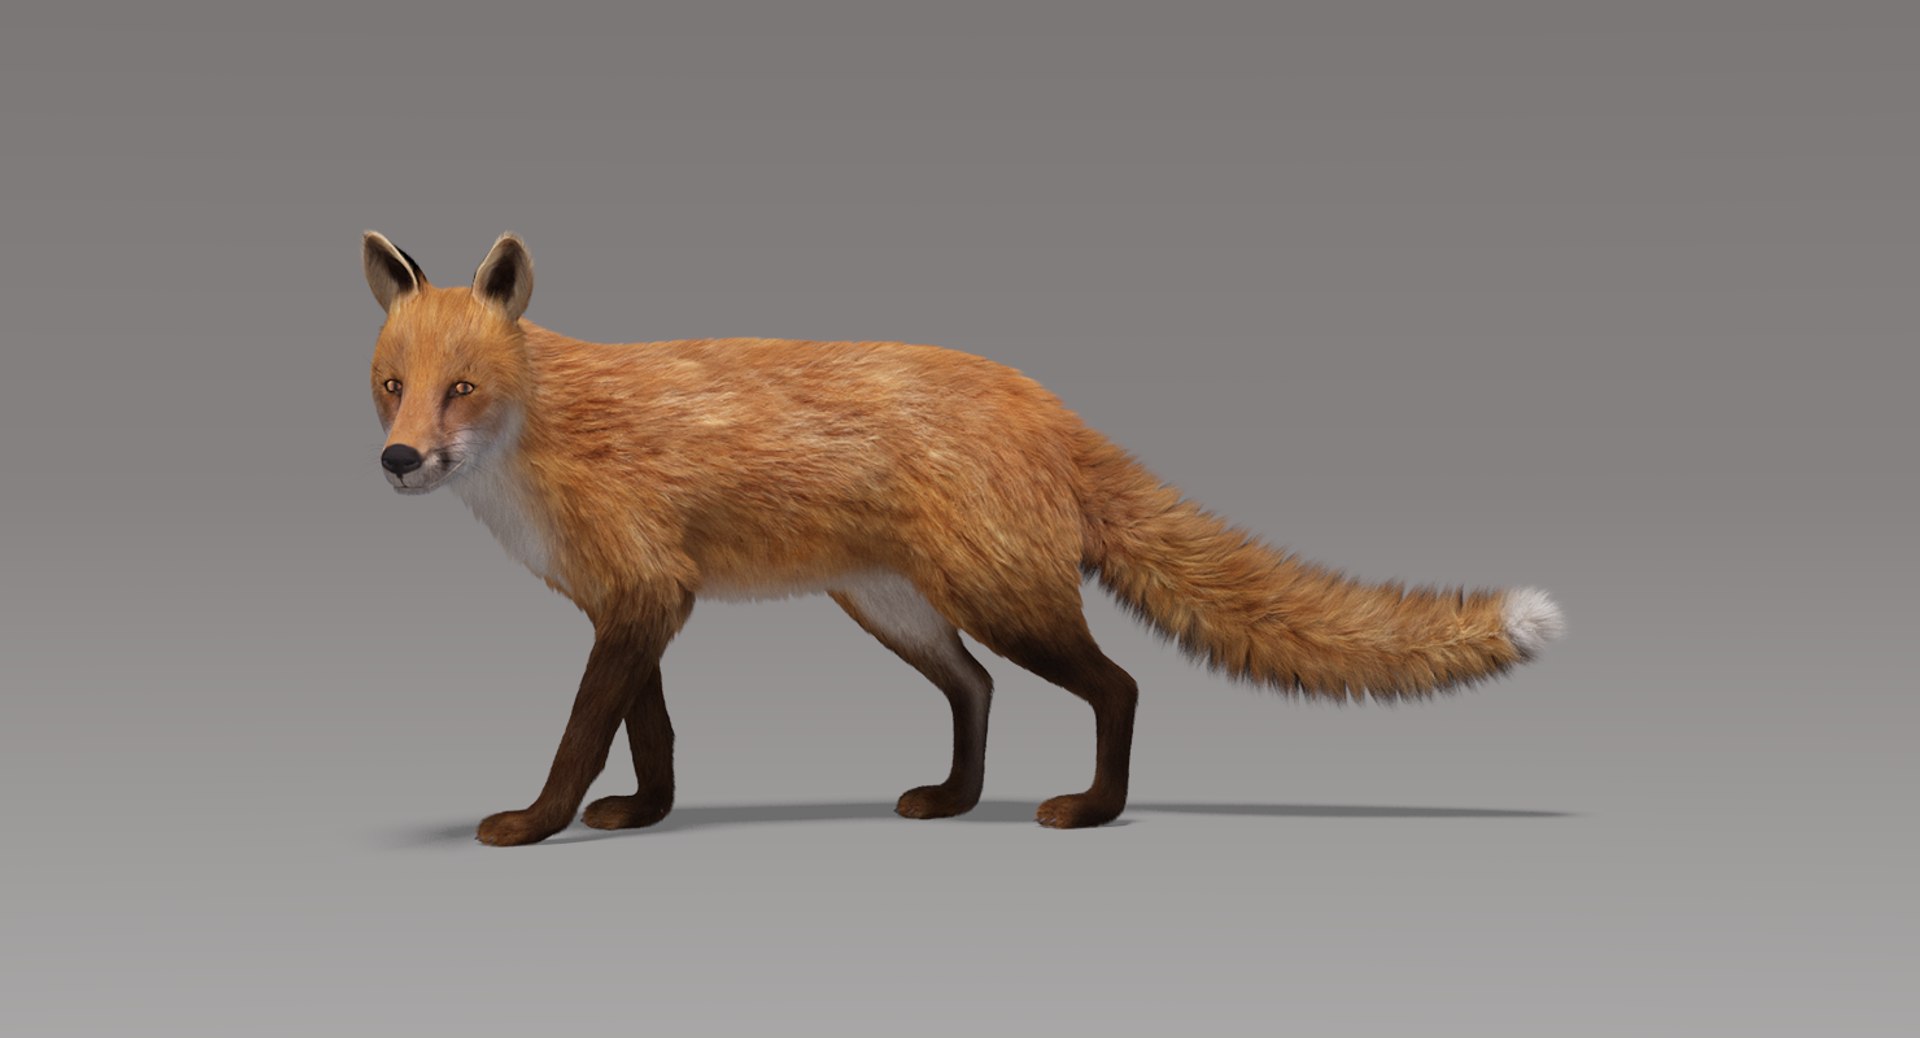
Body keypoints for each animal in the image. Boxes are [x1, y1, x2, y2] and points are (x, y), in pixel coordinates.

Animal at [362, 230, 1565, 846]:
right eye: (390, 386)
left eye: (461, 388)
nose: (399, 460)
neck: (544, 433)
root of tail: (1043, 400)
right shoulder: (637, 601)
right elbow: (645, 732)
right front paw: (644, 815)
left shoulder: (642, 597)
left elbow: (580, 732)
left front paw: (536, 822)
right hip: (897, 606)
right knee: (978, 687)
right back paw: (953, 799)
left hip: (1001, 598)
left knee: (1119, 685)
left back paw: (1091, 811)